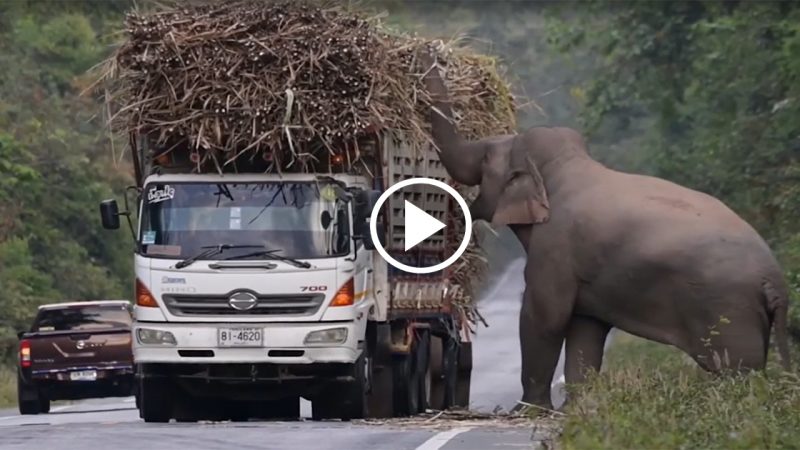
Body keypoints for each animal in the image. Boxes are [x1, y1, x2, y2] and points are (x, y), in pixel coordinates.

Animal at [418, 51, 792, 410]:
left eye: (484, 160)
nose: (429, 50)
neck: (564, 165)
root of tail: (774, 279)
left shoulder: (555, 248)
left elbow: (545, 316)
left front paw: (527, 411)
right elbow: (586, 326)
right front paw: (576, 410)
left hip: (729, 310)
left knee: (737, 372)